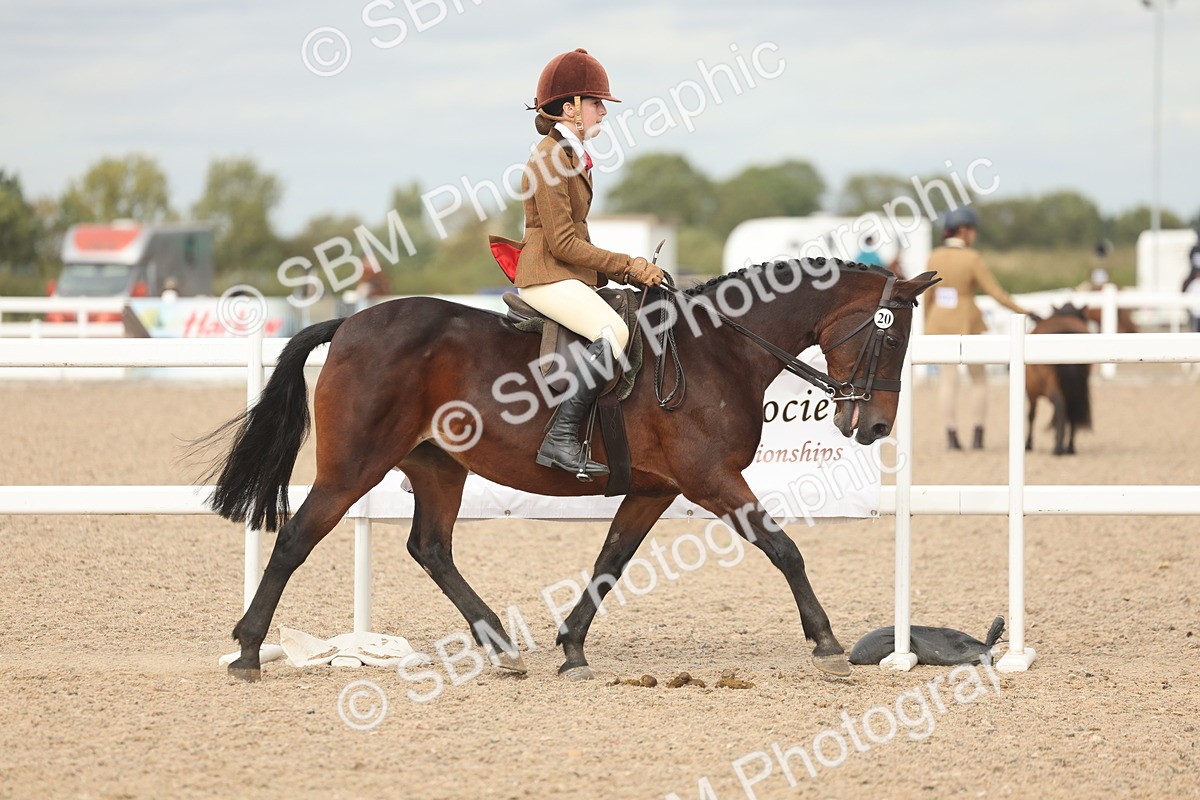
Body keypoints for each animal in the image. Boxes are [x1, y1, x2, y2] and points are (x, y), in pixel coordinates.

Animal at [193, 260, 939, 682]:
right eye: (893, 337)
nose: (874, 427)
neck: (717, 350)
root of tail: (349, 324)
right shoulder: (711, 481)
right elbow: (783, 548)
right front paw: (826, 640)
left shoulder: (654, 489)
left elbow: (611, 560)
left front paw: (572, 647)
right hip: (354, 467)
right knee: (297, 539)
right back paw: (249, 652)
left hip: (437, 467)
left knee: (431, 548)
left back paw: (501, 646)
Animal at [1025, 304, 1092, 455]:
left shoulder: (1031, 390)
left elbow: (1031, 415)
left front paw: (1028, 444)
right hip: (1075, 389)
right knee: (1071, 410)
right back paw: (1070, 447)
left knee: (1060, 405)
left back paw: (1058, 447)